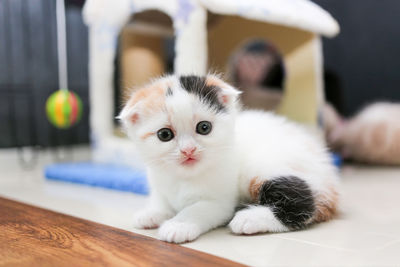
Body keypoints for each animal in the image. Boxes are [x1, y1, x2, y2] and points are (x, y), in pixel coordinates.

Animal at [117, 74, 340, 244]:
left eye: (204, 127)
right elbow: (161, 201)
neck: (185, 177)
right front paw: (151, 213)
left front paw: (178, 225)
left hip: (264, 166)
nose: (188, 150)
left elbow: (197, 209)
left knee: (302, 202)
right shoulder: (160, 183)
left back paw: (249, 218)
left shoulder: (219, 201)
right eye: (164, 135)